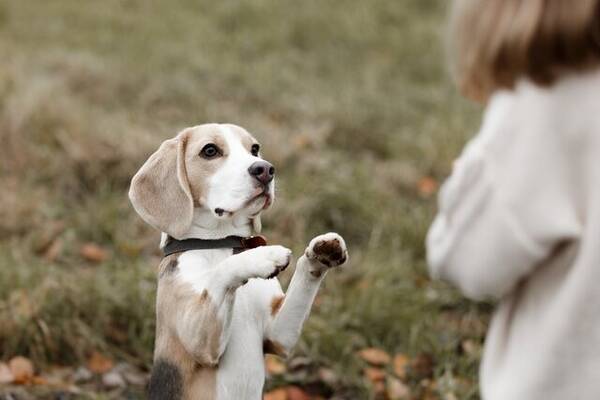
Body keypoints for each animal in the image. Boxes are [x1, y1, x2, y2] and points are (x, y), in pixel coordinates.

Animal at [129, 124, 350, 400]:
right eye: (210, 151)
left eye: (254, 149)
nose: (265, 169)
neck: (220, 242)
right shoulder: (199, 341)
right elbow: (222, 270)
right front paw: (262, 257)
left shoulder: (278, 336)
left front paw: (320, 251)